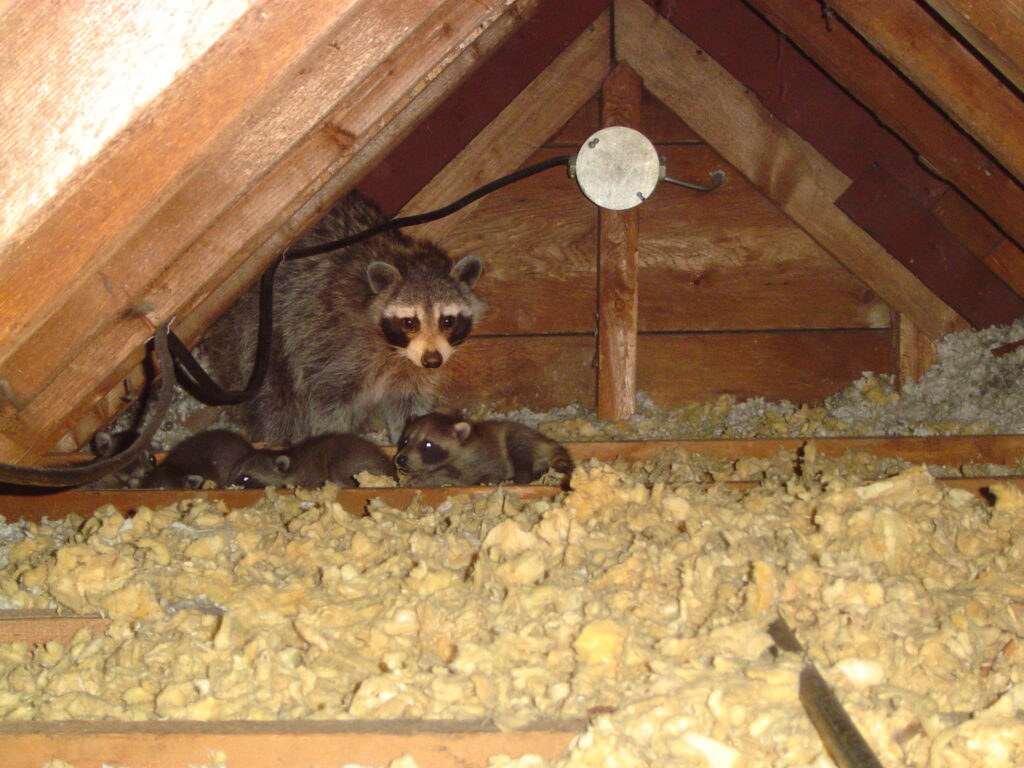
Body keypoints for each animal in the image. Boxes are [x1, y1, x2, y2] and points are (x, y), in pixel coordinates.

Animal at [200, 191, 485, 445]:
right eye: (409, 322)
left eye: (447, 321)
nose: (432, 360)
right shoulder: (337, 341)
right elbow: (328, 397)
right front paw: (335, 438)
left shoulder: (412, 367)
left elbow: (407, 399)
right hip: (262, 331)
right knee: (277, 394)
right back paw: (278, 438)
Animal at [394, 412, 574, 489]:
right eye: (405, 441)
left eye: (428, 445)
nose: (400, 459)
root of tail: (547, 441)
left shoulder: (484, 459)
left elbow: (489, 473)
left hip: (519, 438)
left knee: (520, 455)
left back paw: (521, 477)